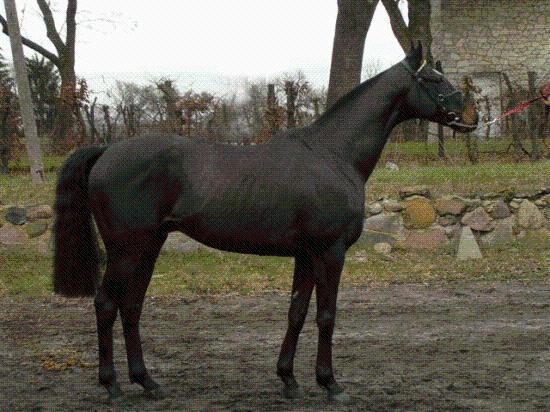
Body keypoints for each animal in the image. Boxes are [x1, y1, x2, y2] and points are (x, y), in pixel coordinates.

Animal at [55, 44, 478, 402]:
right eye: (434, 80)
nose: (472, 117)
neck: (333, 155)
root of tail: (108, 150)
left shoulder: (306, 255)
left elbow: (297, 313)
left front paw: (289, 380)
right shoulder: (330, 253)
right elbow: (326, 317)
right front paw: (330, 384)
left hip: (149, 245)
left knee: (131, 306)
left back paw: (148, 382)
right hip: (126, 249)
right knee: (106, 304)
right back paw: (111, 387)